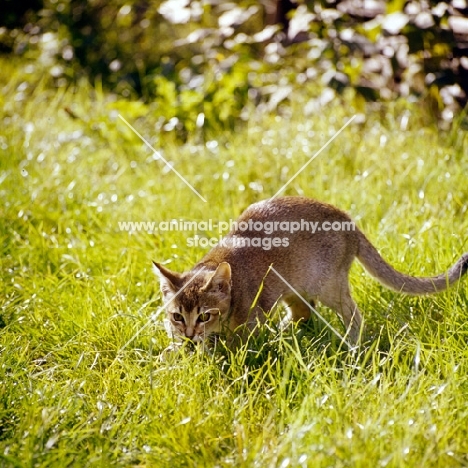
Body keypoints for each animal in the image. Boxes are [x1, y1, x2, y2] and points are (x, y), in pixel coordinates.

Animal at [154, 196, 468, 346]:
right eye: (177, 316)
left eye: (204, 316)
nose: (189, 333)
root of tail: (349, 221)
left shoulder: (251, 317)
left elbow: (236, 345)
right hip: (294, 287)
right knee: (303, 312)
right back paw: (285, 333)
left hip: (327, 285)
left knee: (353, 315)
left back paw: (351, 346)